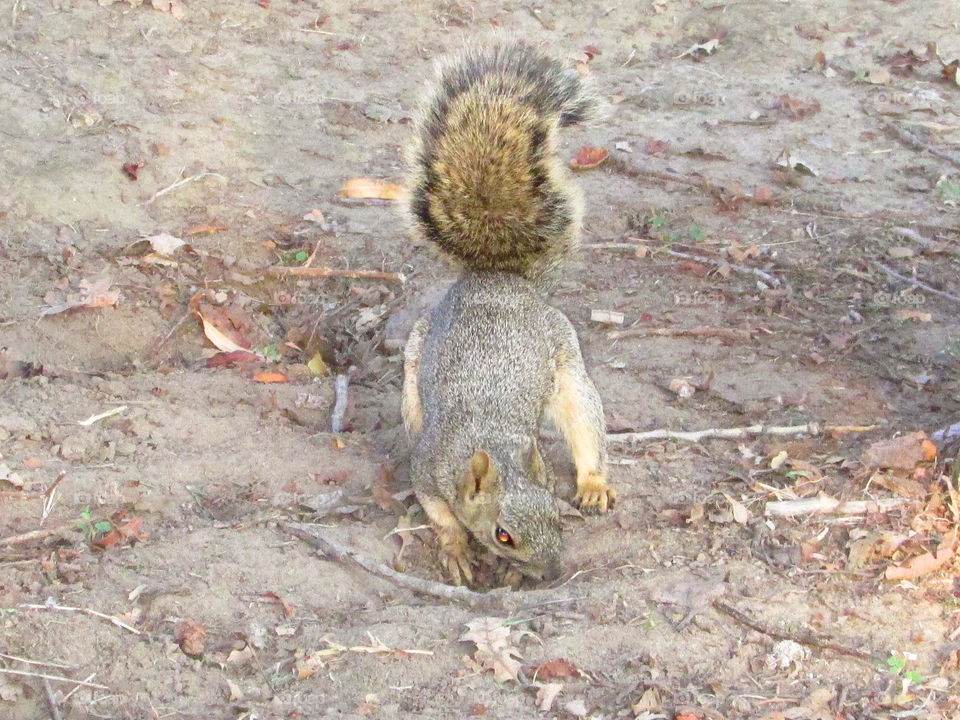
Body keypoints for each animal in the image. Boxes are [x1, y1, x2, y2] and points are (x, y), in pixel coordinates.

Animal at [401, 41, 615, 586]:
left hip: (568, 368)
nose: (554, 573)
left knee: (586, 427)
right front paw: (457, 549)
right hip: (413, 371)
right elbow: (441, 515)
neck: (489, 439)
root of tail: (499, 278)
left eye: (556, 516)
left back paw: (593, 483)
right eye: (503, 534)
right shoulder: (427, 472)